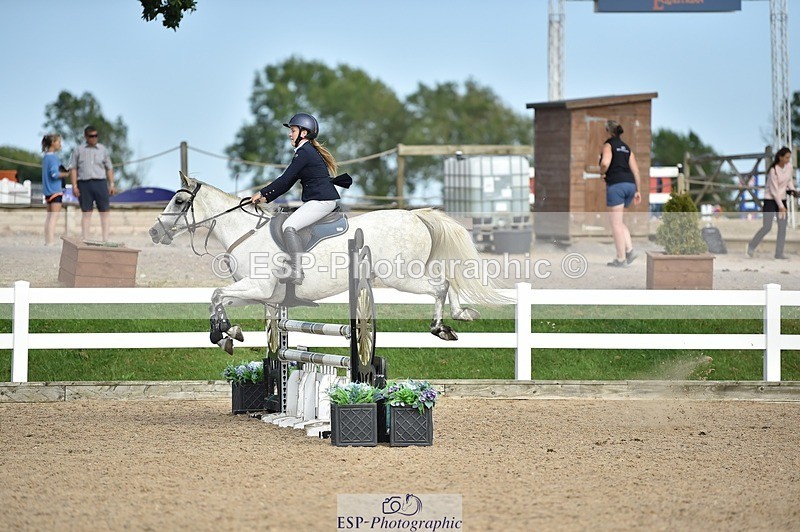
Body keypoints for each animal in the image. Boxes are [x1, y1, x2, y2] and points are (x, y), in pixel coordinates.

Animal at [148, 174, 507, 353]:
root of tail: (414, 215)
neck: (245, 232)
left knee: (440, 284)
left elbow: (216, 295)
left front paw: (225, 333)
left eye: (178, 201)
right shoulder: (262, 296)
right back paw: (462, 313)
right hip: (409, 271)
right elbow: (217, 299)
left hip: (400, 275)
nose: (154, 232)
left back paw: (440, 327)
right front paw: (227, 333)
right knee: (449, 277)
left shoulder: (258, 287)